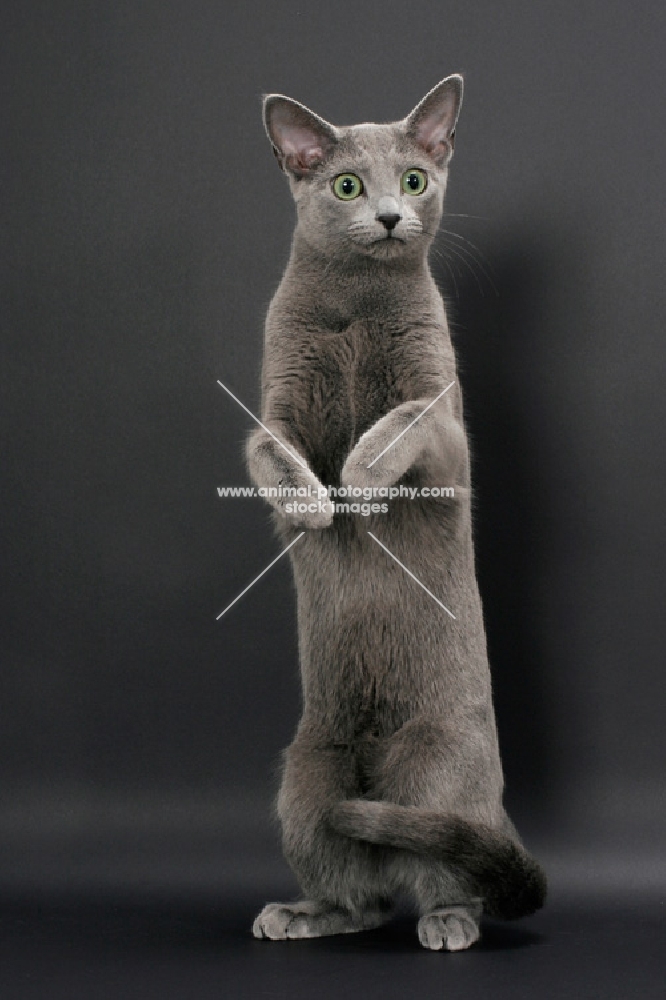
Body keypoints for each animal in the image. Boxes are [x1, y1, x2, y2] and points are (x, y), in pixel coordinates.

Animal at [246, 74, 544, 948]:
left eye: (414, 179)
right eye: (347, 186)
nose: (387, 216)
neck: (354, 308)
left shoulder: (445, 424)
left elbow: (402, 421)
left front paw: (359, 477)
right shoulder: (274, 408)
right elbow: (267, 450)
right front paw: (316, 506)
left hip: (437, 767)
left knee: (449, 871)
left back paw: (447, 921)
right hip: (306, 779)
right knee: (362, 896)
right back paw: (301, 912)